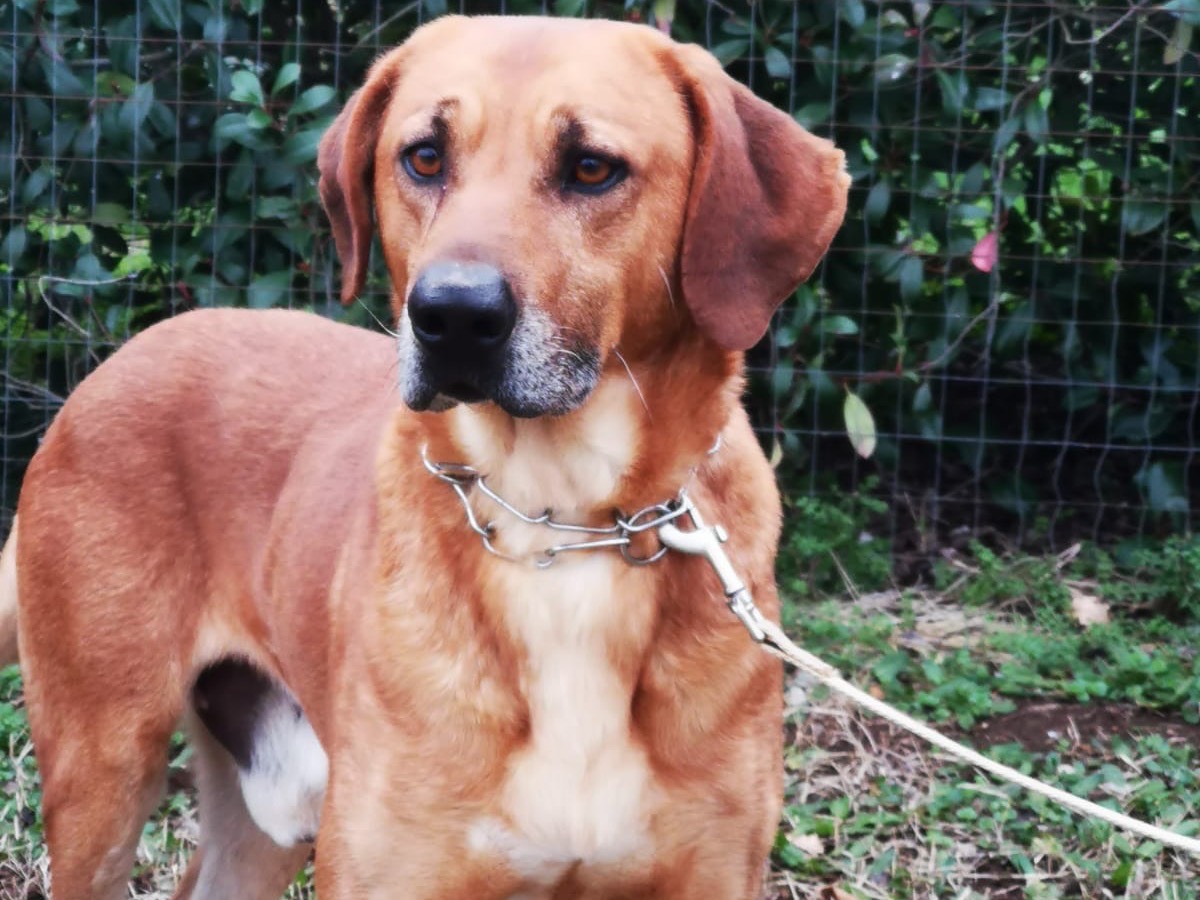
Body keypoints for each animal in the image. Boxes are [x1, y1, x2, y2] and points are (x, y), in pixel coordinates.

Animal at [0, 15, 844, 900]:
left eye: (591, 167)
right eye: (425, 157)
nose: (453, 316)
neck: (561, 520)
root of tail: (116, 362)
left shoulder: (711, 874)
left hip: (265, 806)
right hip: (104, 768)